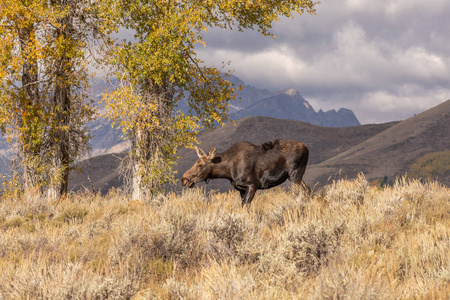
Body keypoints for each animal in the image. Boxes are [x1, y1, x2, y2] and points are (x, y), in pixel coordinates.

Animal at [180, 140, 310, 206]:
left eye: (201, 165)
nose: (184, 179)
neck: (228, 170)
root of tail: (307, 148)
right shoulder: (241, 189)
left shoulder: (252, 185)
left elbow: (246, 206)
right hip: (299, 176)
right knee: (307, 190)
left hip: (294, 175)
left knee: (299, 194)